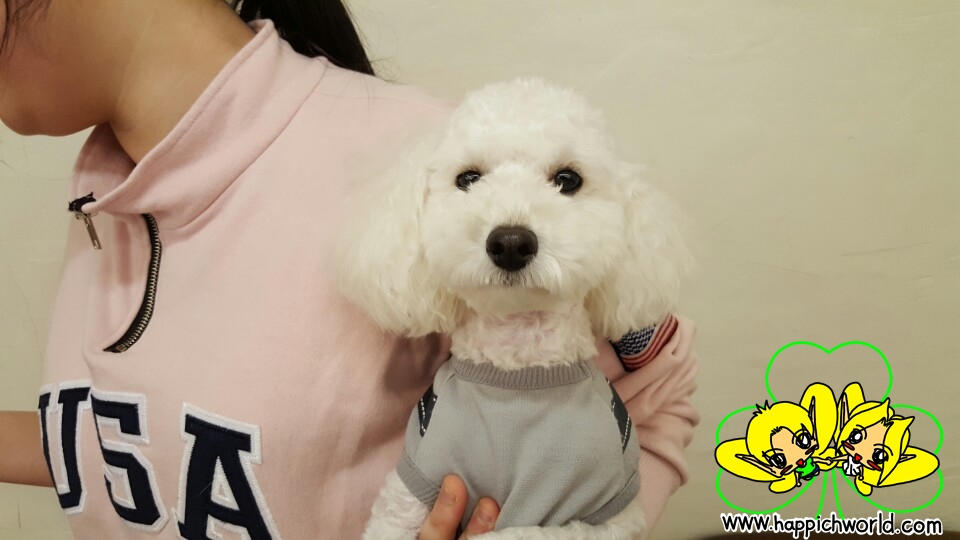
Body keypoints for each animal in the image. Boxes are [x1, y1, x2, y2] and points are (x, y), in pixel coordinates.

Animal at [336, 78, 690, 539]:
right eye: (468, 178)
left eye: (568, 179)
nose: (510, 242)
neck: (518, 371)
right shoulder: (413, 485)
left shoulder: (611, 517)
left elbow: (519, 532)